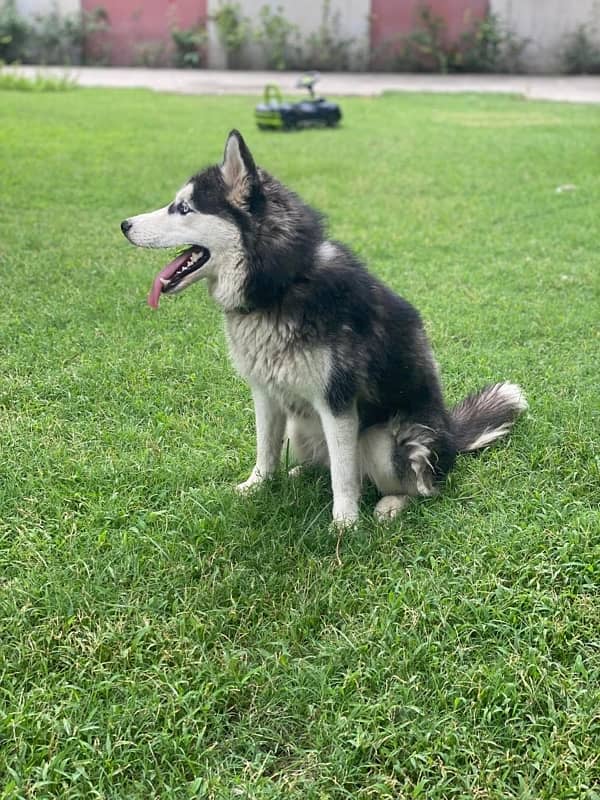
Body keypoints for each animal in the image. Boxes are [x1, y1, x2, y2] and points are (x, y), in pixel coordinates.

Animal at [120, 130, 524, 524]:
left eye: (183, 208)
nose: (124, 225)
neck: (281, 285)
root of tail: (452, 434)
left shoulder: (337, 403)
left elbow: (343, 476)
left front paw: (344, 525)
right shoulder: (265, 394)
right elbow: (265, 451)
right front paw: (256, 487)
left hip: (384, 439)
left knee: (420, 488)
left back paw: (391, 505)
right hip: (299, 428)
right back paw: (303, 474)